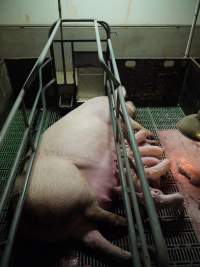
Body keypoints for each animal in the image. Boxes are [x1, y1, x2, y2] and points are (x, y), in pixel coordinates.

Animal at [15, 96, 183, 266]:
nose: (132, 102)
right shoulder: (118, 118)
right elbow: (133, 124)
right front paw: (146, 132)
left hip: (73, 226)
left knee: (94, 240)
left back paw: (137, 253)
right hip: (72, 189)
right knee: (92, 210)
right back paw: (123, 221)